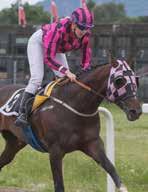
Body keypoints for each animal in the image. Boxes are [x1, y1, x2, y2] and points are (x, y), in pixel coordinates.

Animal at [0, 57, 141, 191]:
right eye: (119, 80)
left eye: (135, 80)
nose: (136, 111)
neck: (76, 105)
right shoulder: (55, 151)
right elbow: (59, 185)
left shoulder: (93, 143)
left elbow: (111, 169)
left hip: (15, 142)